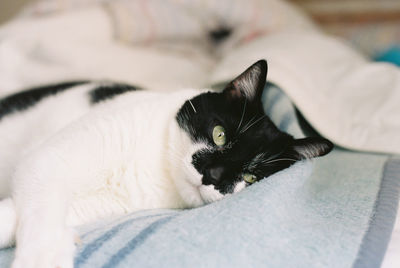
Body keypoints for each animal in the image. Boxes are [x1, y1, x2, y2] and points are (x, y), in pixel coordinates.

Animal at [0, 60, 332, 268]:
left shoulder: (102, 202)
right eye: (220, 134)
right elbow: (43, 206)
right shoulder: (50, 158)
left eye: (250, 177)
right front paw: (42, 258)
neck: (155, 167)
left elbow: (23, 212)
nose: (212, 175)